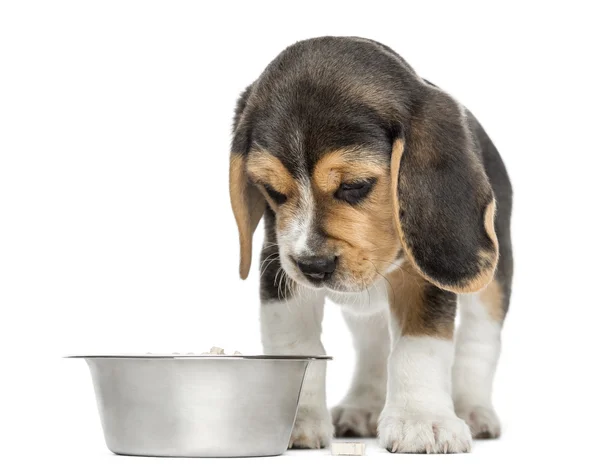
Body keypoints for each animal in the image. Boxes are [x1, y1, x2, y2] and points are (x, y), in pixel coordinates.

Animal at [229, 36, 510, 452]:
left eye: (355, 186)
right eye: (273, 192)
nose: (313, 266)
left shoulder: (423, 277)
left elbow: (419, 347)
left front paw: (421, 419)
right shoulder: (278, 263)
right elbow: (297, 345)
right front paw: (296, 419)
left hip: (492, 280)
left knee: (479, 340)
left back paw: (473, 409)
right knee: (373, 345)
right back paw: (363, 405)